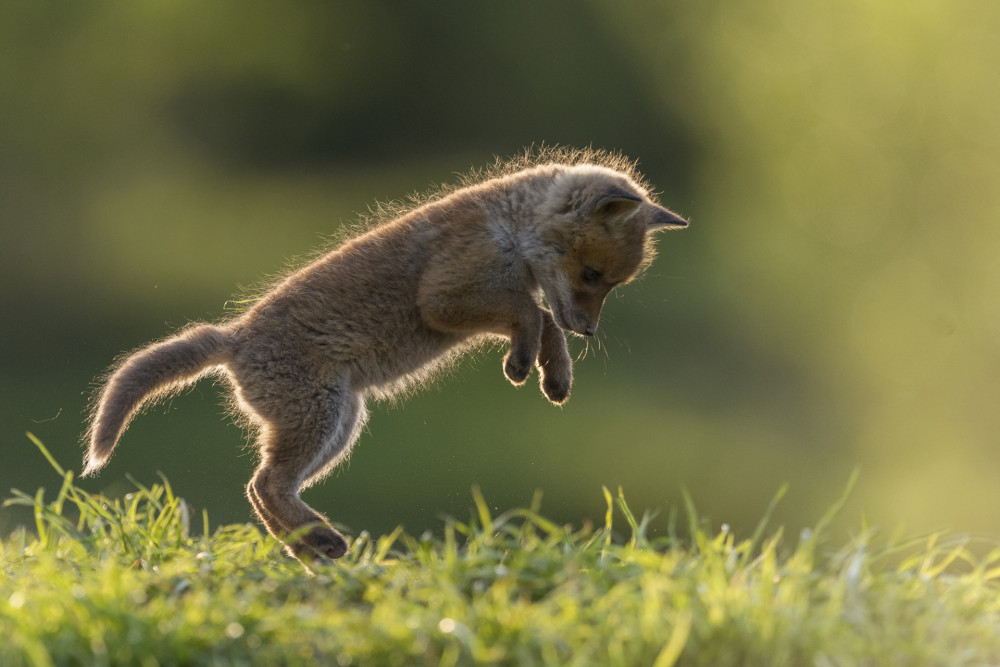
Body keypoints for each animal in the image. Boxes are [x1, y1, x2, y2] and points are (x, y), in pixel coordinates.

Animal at [84, 150, 688, 564]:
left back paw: (309, 548)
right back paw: (319, 540)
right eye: (591, 275)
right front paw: (525, 364)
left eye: (610, 284)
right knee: (265, 485)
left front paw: (554, 376)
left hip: (341, 424)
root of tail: (234, 336)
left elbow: (540, 322)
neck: (508, 230)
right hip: (321, 418)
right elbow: (534, 314)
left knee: (262, 488)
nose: (589, 330)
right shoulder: (444, 300)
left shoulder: (502, 299)